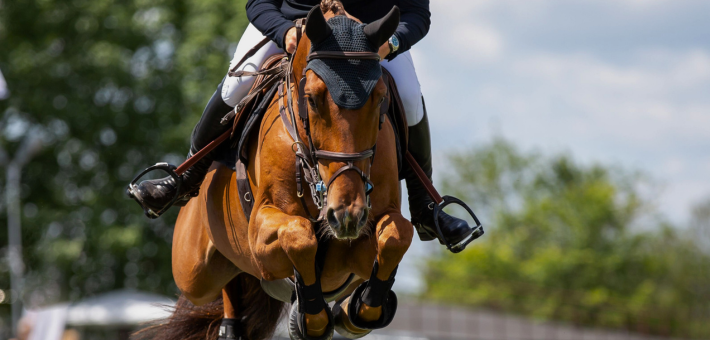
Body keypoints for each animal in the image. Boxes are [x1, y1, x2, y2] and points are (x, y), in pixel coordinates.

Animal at [140, 2, 414, 340]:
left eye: (380, 99)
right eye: (312, 99)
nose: (346, 214)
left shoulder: (363, 237)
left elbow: (397, 235)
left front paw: (360, 309)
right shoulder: (261, 234)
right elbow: (299, 235)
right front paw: (311, 318)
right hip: (193, 271)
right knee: (224, 278)